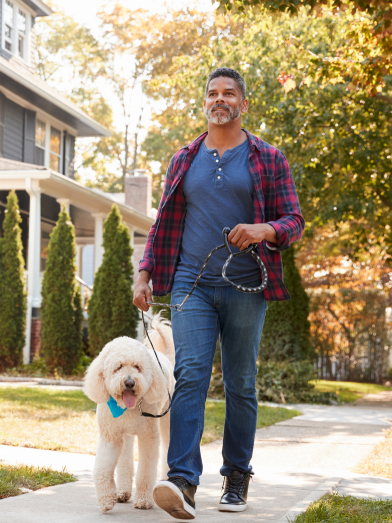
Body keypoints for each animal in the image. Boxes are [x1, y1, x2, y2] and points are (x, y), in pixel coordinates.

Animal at [84, 318, 175, 512]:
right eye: (118, 367)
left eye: (137, 367)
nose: (129, 382)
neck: (126, 408)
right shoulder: (110, 436)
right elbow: (102, 468)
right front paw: (106, 499)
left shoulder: (149, 437)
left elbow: (146, 470)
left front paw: (143, 500)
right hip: (125, 435)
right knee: (125, 459)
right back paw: (123, 491)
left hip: (167, 421)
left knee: (167, 448)